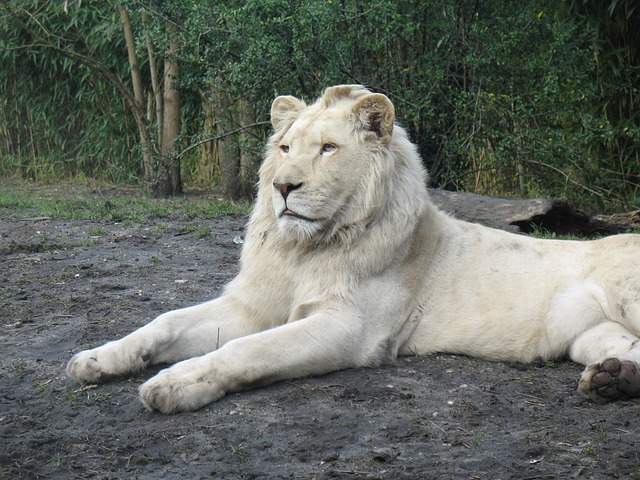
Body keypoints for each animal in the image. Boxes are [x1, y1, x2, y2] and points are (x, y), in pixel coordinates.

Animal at [66, 85, 640, 412]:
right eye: (284, 148)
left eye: (328, 149)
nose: (283, 187)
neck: (305, 250)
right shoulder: (253, 306)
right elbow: (163, 322)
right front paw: (96, 359)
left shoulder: (350, 328)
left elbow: (248, 350)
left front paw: (176, 383)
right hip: (589, 338)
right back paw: (612, 381)